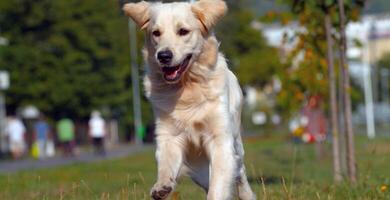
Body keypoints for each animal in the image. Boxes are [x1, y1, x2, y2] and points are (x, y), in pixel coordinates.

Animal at [123, 0, 254, 199]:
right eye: (156, 33)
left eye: (183, 31)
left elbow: (218, 187)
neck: (187, 88)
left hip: (236, 147)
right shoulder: (169, 135)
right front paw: (162, 186)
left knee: (240, 175)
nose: (163, 56)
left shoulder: (221, 140)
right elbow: (166, 164)